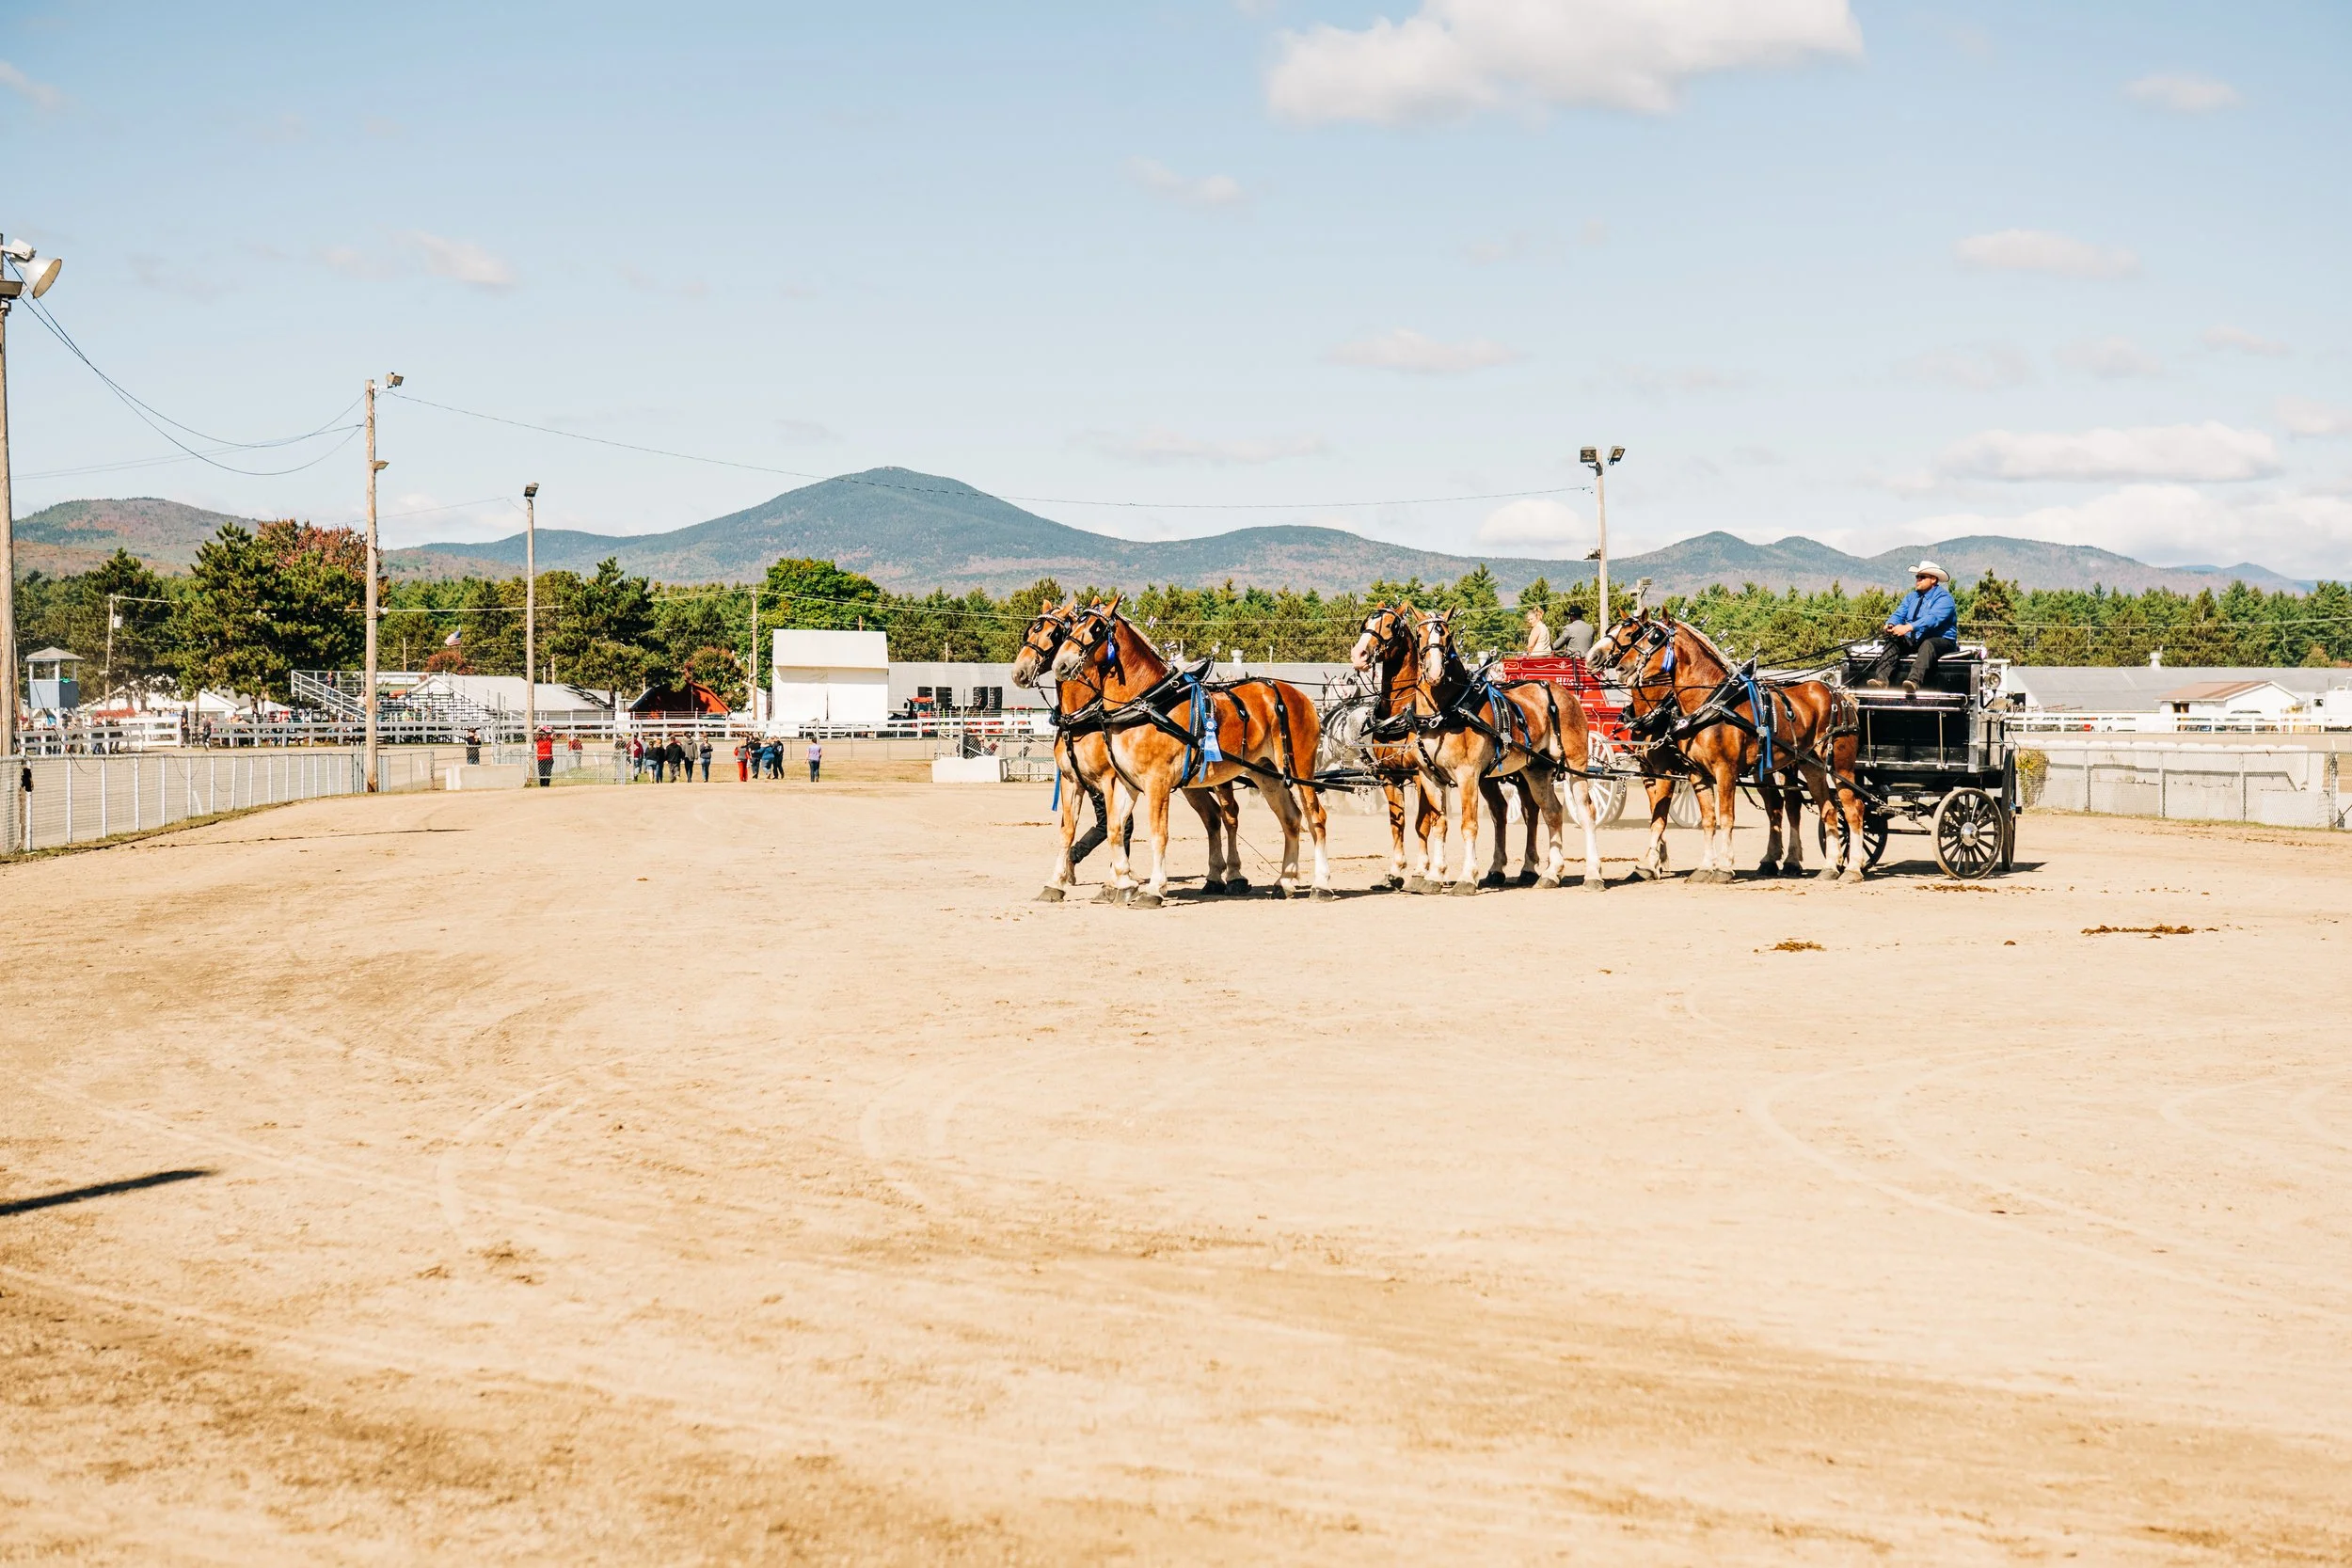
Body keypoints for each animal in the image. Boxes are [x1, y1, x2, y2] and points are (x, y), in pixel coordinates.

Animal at [1010, 599, 1241, 902]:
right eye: (1030, 630)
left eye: (1053, 633)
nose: (1019, 672)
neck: (1085, 718)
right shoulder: (1075, 781)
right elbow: (1071, 830)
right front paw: (1058, 882)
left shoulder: (1110, 779)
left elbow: (1115, 827)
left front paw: (1117, 882)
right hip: (1193, 783)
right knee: (1212, 818)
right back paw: (1214, 878)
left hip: (1222, 778)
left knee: (1230, 816)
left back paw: (1235, 877)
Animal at [1050, 598, 1331, 906]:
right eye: (1071, 628)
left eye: (1096, 629)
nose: (1060, 665)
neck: (1148, 703)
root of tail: (1299, 695)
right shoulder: (1124, 781)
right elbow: (1114, 829)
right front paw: (1122, 884)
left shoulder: (1156, 781)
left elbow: (1158, 833)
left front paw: (1153, 889)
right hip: (1266, 773)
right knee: (1290, 819)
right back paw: (1284, 881)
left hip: (1299, 768)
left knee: (1315, 818)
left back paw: (1320, 884)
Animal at [1346, 602, 1543, 891]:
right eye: (1365, 623)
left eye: (1390, 626)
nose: (1359, 654)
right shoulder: (1391, 775)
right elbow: (1398, 823)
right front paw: (1395, 871)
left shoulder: (1420, 775)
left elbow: (1422, 822)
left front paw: (1421, 871)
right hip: (1488, 777)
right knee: (1500, 810)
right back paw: (1496, 870)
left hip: (1521, 772)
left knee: (1531, 810)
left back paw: (1529, 868)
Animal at [1404, 607, 1606, 893]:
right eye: (1419, 634)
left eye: (1447, 635)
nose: (1434, 672)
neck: (1444, 712)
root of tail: (1565, 693)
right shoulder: (1429, 776)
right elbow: (1439, 824)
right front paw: (1434, 876)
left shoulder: (1468, 775)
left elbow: (1469, 825)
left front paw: (1467, 877)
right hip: (1537, 769)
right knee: (1552, 812)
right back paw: (1551, 873)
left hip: (1576, 764)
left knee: (1587, 812)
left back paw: (1593, 874)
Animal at [1587, 607, 1865, 883]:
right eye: (1618, 631)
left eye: (1648, 636)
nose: (1618, 667)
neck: (1709, 702)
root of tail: (1839, 694)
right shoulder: (1685, 772)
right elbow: (1702, 818)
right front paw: (1694, 866)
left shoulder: (1717, 770)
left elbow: (1718, 817)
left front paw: (1720, 867)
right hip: (1806, 766)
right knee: (1818, 808)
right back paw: (1822, 865)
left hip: (1838, 767)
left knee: (1849, 808)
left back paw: (1849, 867)